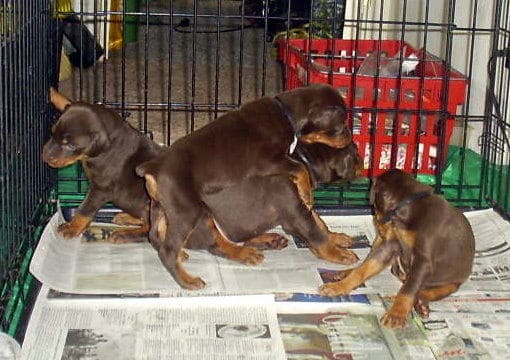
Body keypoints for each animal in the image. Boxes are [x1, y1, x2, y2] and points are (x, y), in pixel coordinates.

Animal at [42, 89, 161, 243]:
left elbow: (85, 209)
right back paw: (126, 217)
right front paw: (53, 93)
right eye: (52, 132)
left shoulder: (100, 190)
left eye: (71, 145)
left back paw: (125, 234)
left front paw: (72, 227)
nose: (45, 156)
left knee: (151, 231)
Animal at [137, 84, 356, 290]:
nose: (350, 136)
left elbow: (318, 221)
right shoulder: (269, 161)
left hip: (164, 208)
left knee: (157, 237)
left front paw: (336, 237)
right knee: (174, 249)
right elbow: (301, 171)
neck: (287, 114)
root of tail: (153, 166)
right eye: (340, 124)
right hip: (187, 212)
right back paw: (190, 279)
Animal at [318, 169, 474, 330]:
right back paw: (344, 273)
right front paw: (338, 287)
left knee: (427, 290)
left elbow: (408, 289)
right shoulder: (390, 245)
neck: (408, 208)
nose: (378, 228)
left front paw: (396, 314)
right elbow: (364, 269)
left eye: (375, 208)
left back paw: (420, 303)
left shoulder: (422, 261)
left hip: (452, 281)